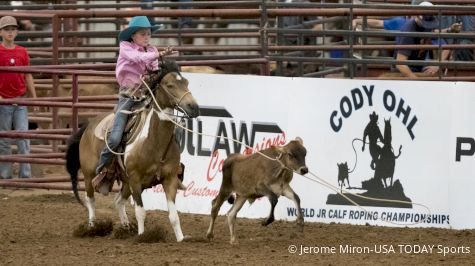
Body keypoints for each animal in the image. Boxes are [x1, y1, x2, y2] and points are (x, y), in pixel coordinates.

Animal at [66, 59, 200, 241]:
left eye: (186, 82)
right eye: (170, 85)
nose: (193, 107)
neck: (154, 143)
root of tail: (88, 125)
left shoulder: (170, 179)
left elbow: (173, 215)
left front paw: (181, 238)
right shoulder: (136, 180)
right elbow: (140, 211)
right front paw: (142, 236)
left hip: (126, 181)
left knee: (118, 201)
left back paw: (126, 228)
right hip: (89, 174)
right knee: (90, 199)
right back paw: (92, 228)